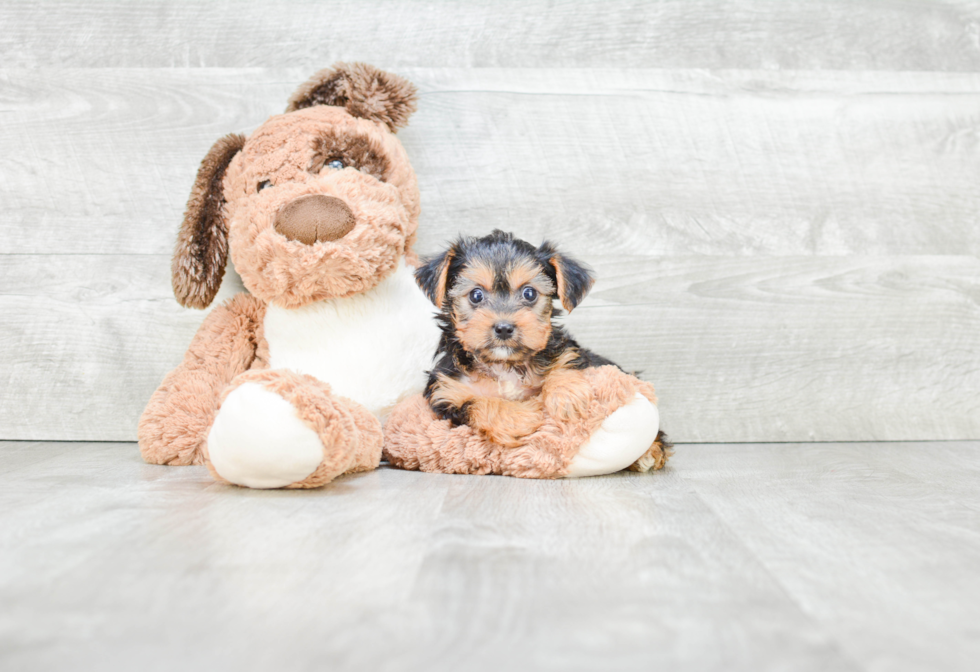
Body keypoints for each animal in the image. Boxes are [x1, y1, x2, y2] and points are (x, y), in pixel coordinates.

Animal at [418, 228, 640, 448]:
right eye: (476, 295)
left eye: (529, 293)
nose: (504, 328)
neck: (503, 364)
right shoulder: (445, 393)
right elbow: (473, 403)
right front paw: (521, 418)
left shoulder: (569, 351)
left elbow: (566, 361)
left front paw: (567, 395)